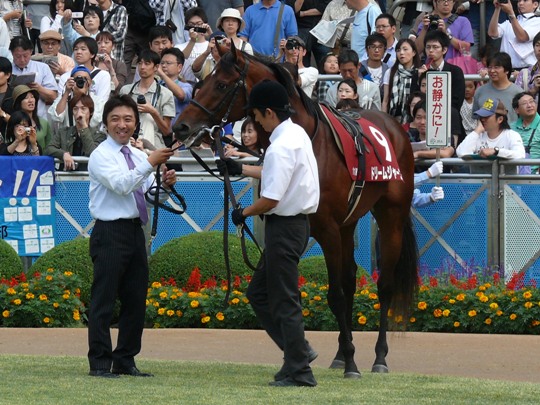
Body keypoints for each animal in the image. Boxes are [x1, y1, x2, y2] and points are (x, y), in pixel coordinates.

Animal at [173, 45, 418, 378]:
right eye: (201, 83)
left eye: (221, 85)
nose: (180, 126)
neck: (310, 141)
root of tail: (393, 126)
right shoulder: (309, 227)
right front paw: (331, 355)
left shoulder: (326, 230)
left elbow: (334, 295)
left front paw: (352, 363)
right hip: (349, 222)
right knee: (351, 280)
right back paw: (340, 354)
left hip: (390, 216)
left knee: (384, 286)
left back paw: (379, 357)